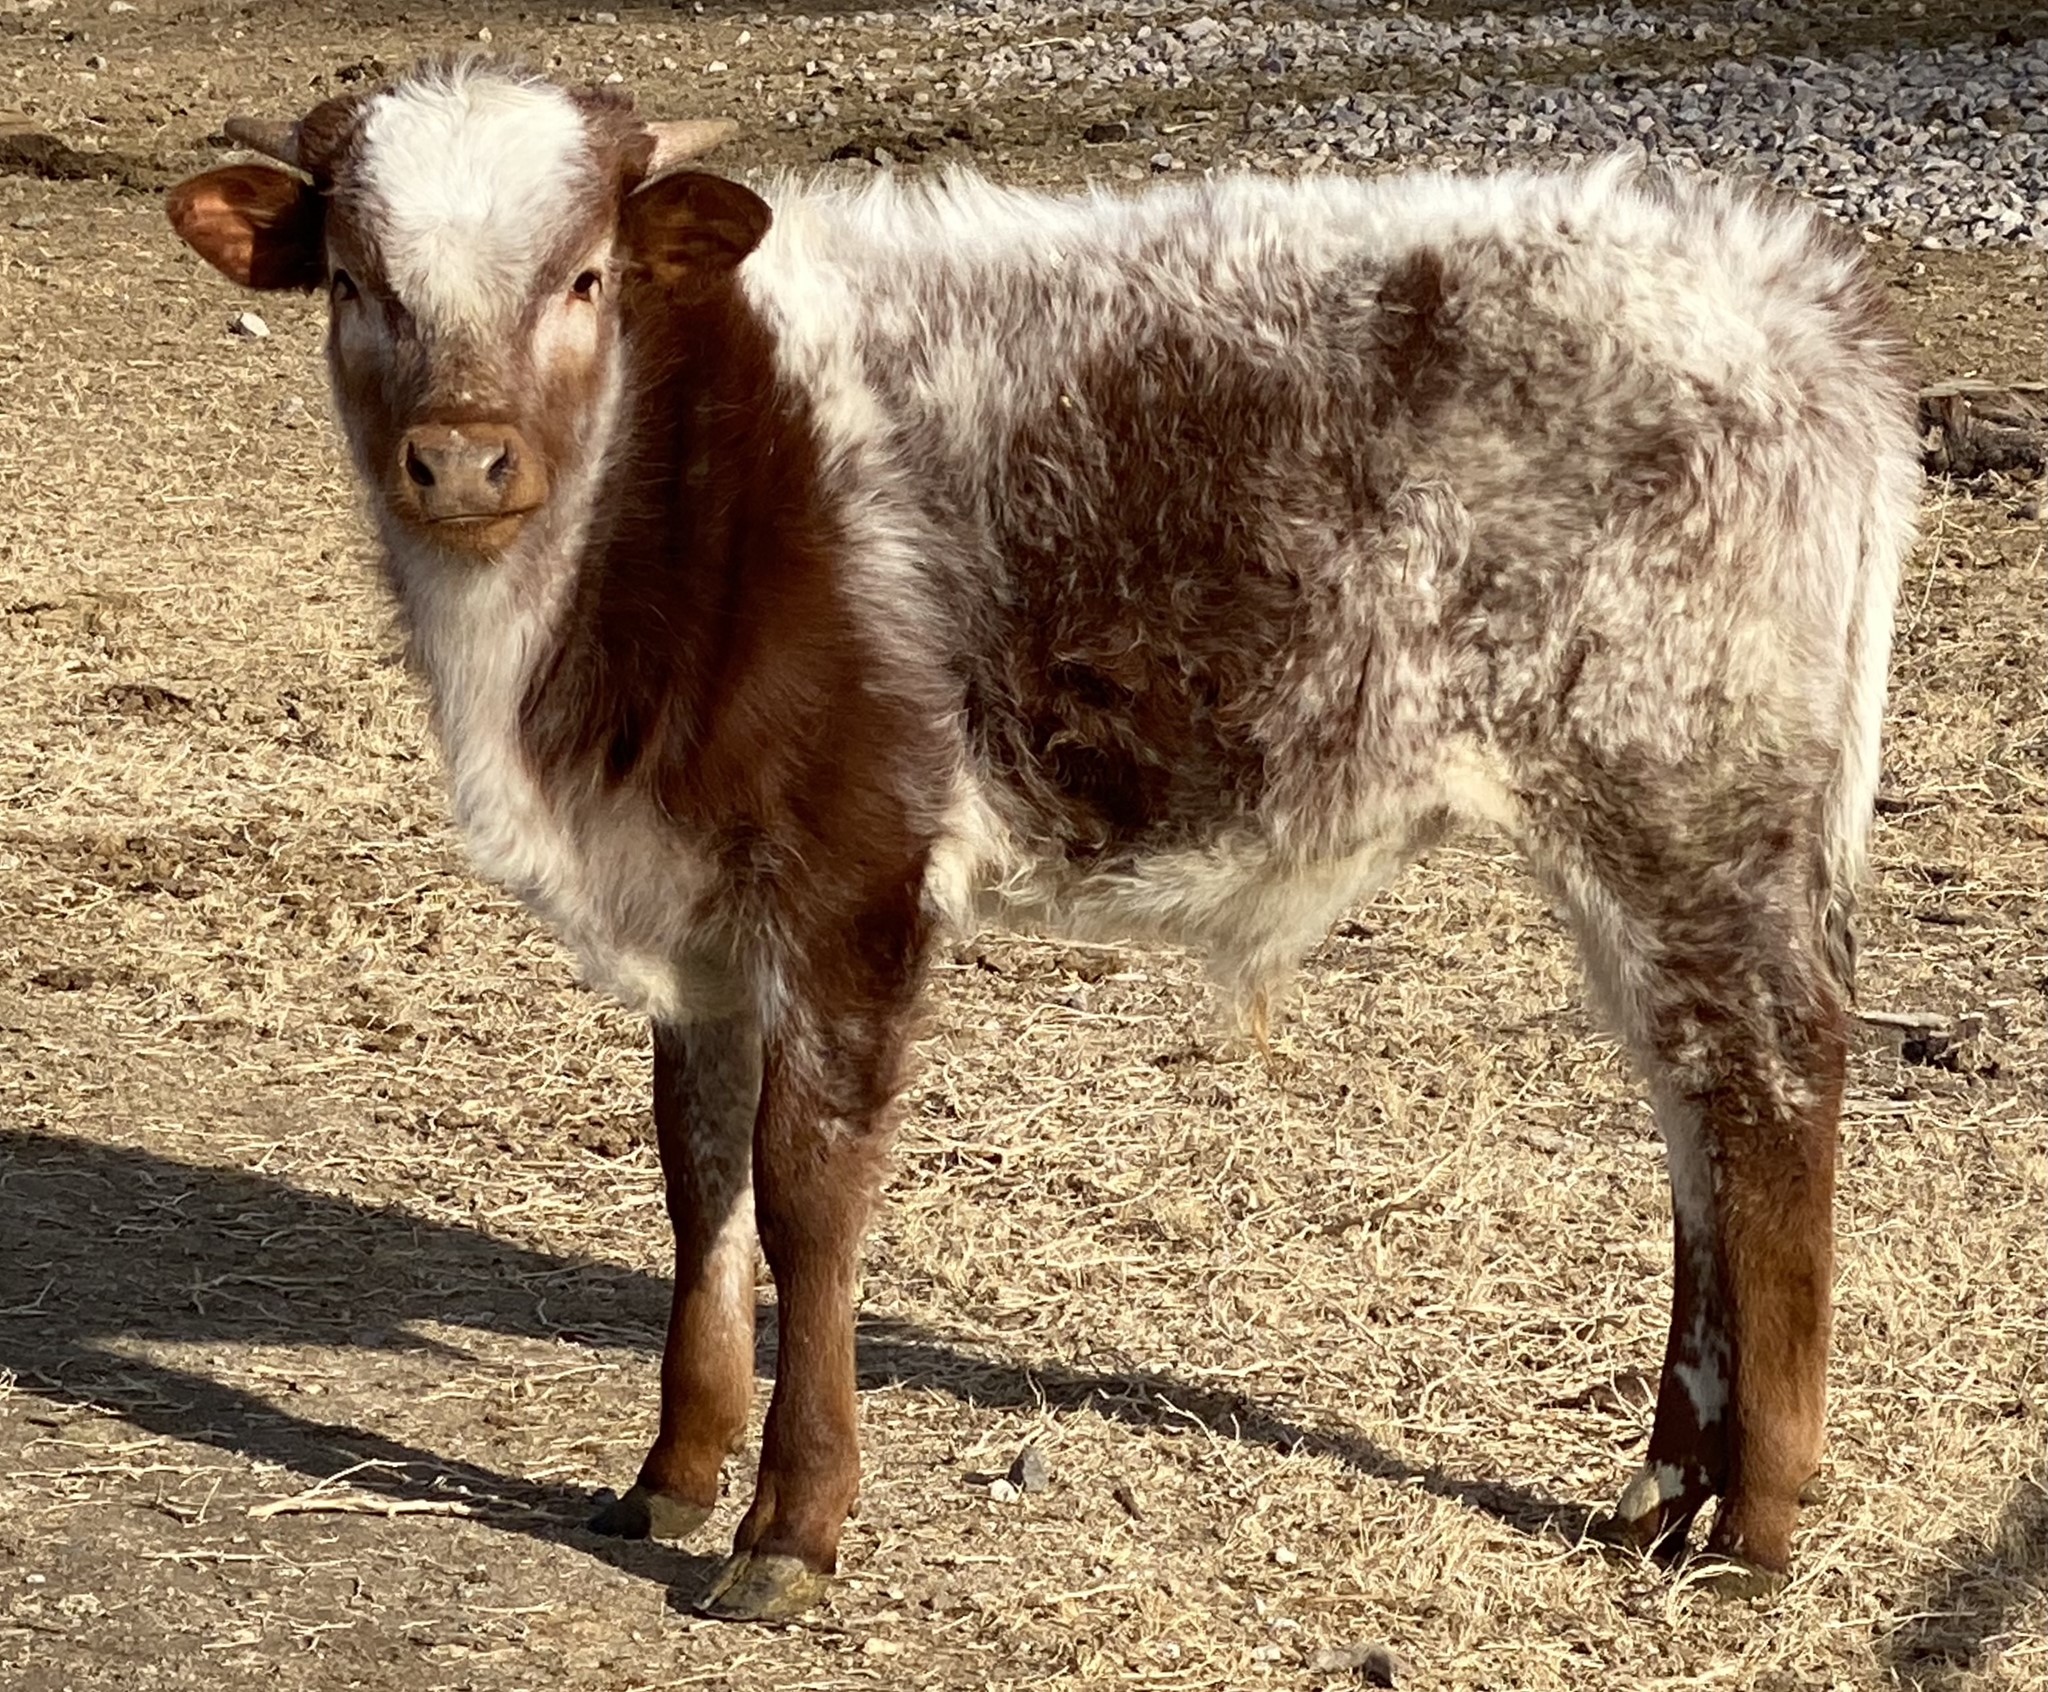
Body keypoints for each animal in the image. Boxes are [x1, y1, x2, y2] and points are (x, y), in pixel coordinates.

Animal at [166, 58, 1920, 1621]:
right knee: (1695, 1121)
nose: (463, 457)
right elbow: (698, 1178)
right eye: (357, 283)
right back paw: (1663, 1494)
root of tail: (1786, 286)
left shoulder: (856, 874)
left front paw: (790, 1532)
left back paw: (1756, 1524)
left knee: (1773, 1101)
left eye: (584, 277)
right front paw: (671, 1473)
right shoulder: (700, 921)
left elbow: (808, 1195)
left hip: (1697, 799)